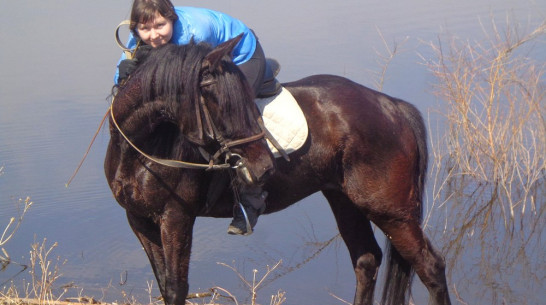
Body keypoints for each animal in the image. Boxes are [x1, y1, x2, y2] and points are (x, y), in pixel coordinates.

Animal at [103, 36, 450, 304]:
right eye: (221, 104)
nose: (263, 167)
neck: (141, 146)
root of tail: (392, 106)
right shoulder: (139, 219)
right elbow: (165, 285)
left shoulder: (176, 216)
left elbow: (176, 288)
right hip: (344, 200)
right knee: (366, 260)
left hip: (391, 211)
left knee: (431, 267)